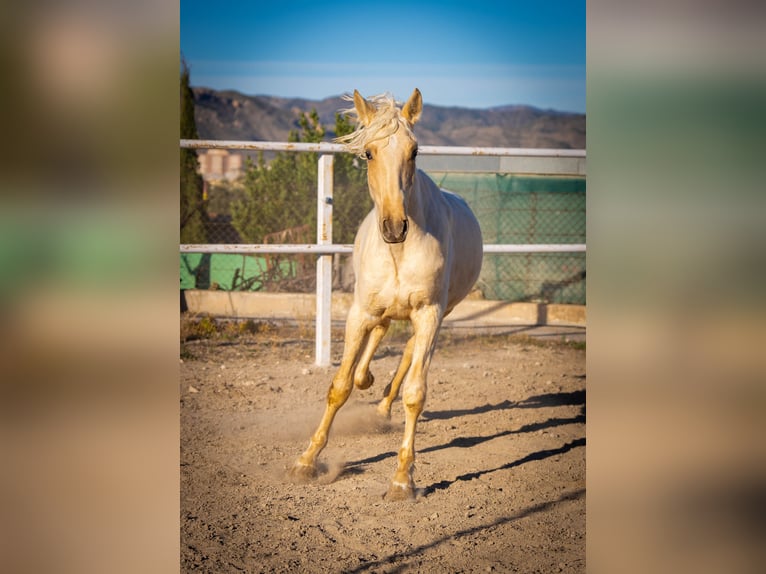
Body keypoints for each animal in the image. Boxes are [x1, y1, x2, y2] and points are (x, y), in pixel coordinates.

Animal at [292, 88, 484, 502]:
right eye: (368, 153)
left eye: (414, 151)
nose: (395, 227)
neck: (399, 251)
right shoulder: (359, 313)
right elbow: (340, 386)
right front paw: (306, 461)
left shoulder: (429, 313)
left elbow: (414, 392)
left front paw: (402, 479)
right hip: (378, 310)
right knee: (380, 334)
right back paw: (369, 385)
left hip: (437, 314)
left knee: (408, 353)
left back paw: (382, 407)